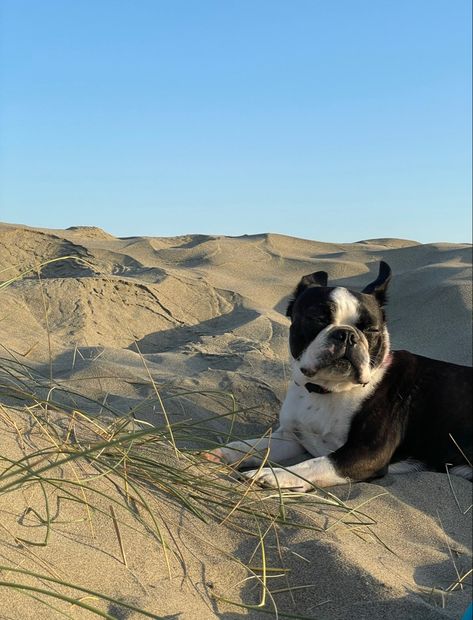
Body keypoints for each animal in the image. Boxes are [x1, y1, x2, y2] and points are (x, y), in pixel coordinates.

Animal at [207, 262, 472, 490]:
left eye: (371, 329)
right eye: (317, 318)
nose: (346, 334)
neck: (326, 390)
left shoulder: (366, 452)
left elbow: (314, 463)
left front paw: (273, 475)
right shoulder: (291, 438)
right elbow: (251, 445)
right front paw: (221, 453)